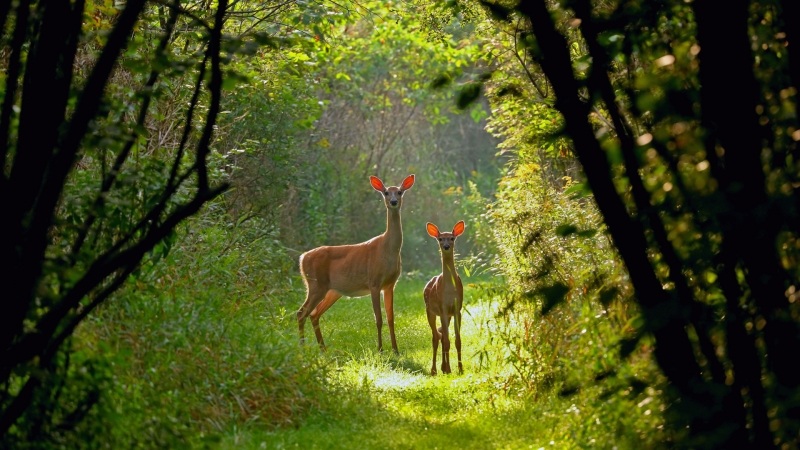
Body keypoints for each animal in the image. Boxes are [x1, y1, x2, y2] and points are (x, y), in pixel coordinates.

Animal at [296, 174, 415, 354]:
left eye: (400, 192)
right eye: (386, 192)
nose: (394, 202)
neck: (388, 249)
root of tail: (302, 258)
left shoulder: (390, 284)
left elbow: (390, 318)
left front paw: (396, 350)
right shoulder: (374, 282)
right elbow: (378, 319)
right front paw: (380, 350)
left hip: (332, 291)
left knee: (314, 314)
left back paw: (322, 349)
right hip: (316, 284)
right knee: (301, 312)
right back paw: (303, 349)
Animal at [423, 220, 465, 375]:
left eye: (452, 238)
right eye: (440, 239)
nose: (446, 246)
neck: (449, 290)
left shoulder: (457, 309)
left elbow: (457, 341)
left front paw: (460, 368)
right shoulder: (442, 308)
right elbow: (447, 341)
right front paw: (449, 369)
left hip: (447, 315)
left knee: (441, 336)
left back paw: (443, 367)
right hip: (429, 311)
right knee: (436, 337)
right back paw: (435, 370)